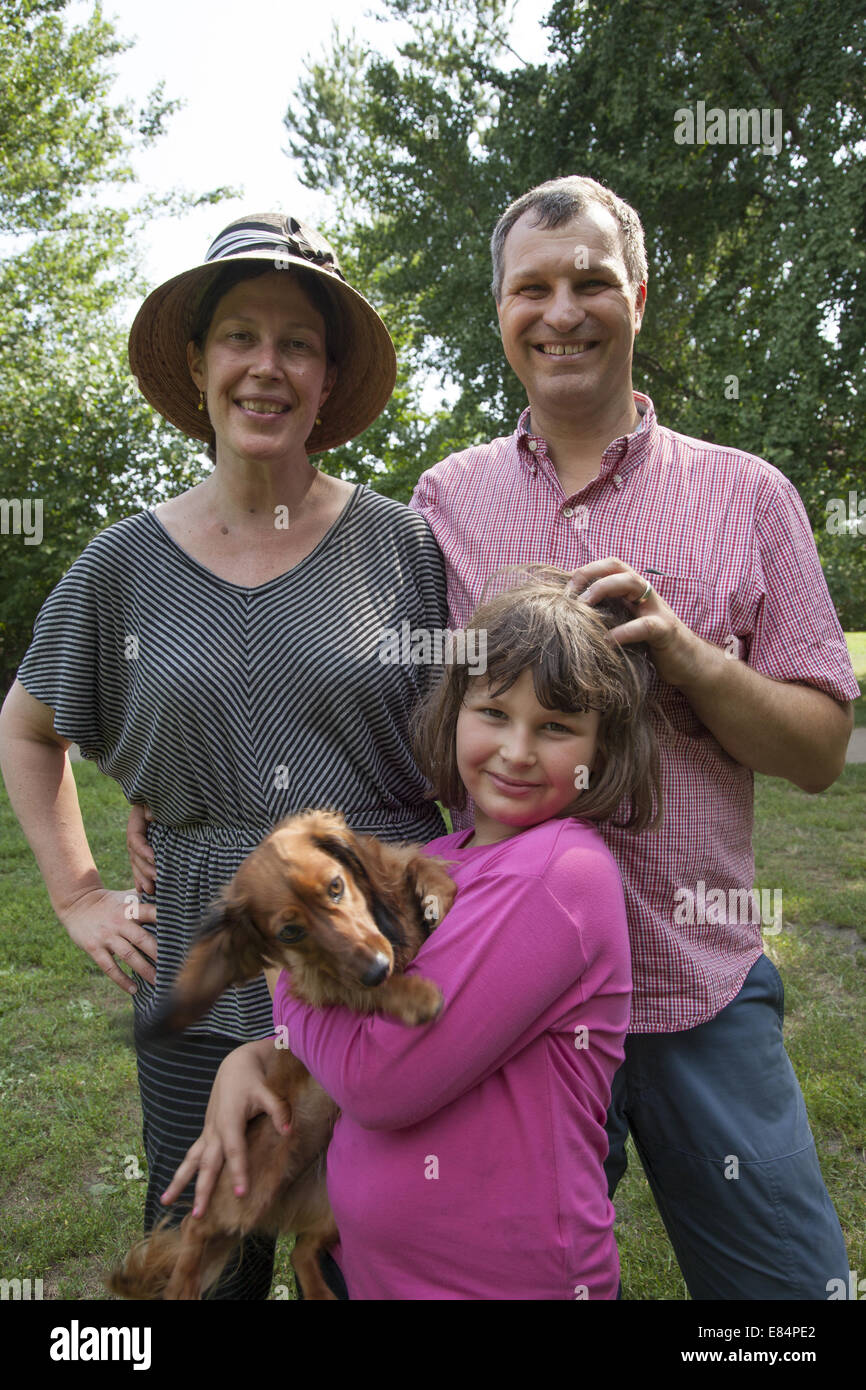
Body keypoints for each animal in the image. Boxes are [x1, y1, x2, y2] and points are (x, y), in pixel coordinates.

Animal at [109, 811, 453, 1295]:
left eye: (335, 886)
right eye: (290, 932)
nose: (377, 969)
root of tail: (282, 1203)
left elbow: (421, 866)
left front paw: (436, 895)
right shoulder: (321, 982)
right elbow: (359, 991)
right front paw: (412, 995)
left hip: (331, 1209)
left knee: (302, 1251)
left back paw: (322, 1293)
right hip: (250, 1183)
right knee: (196, 1229)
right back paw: (182, 1288)